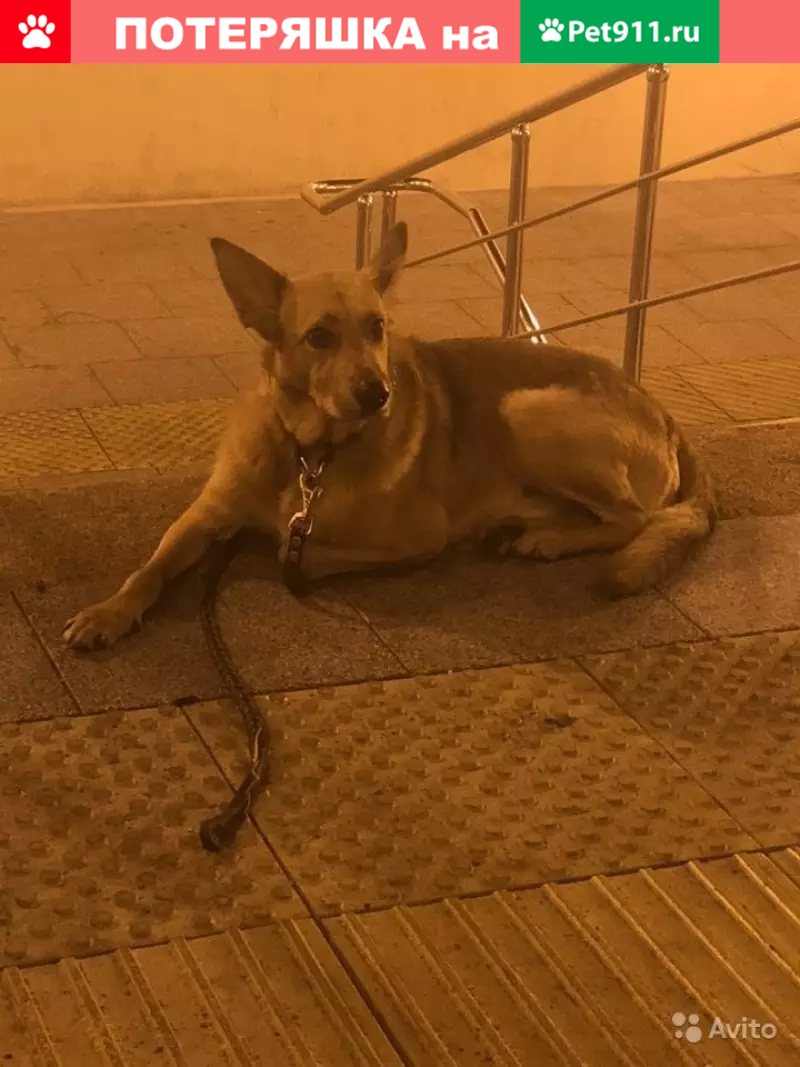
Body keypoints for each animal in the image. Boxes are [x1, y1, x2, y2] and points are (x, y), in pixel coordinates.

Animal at [63, 221, 716, 651]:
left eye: (378, 327)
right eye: (319, 337)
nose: (377, 394)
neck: (310, 455)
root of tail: (664, 412)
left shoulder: (420, 536)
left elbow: (301, 551)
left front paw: (289, 548)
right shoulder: (204, 514)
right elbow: (150, 567)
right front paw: (110, 611)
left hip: (527, 412)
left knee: (635, 518)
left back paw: (546, 539)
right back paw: (528, 528)